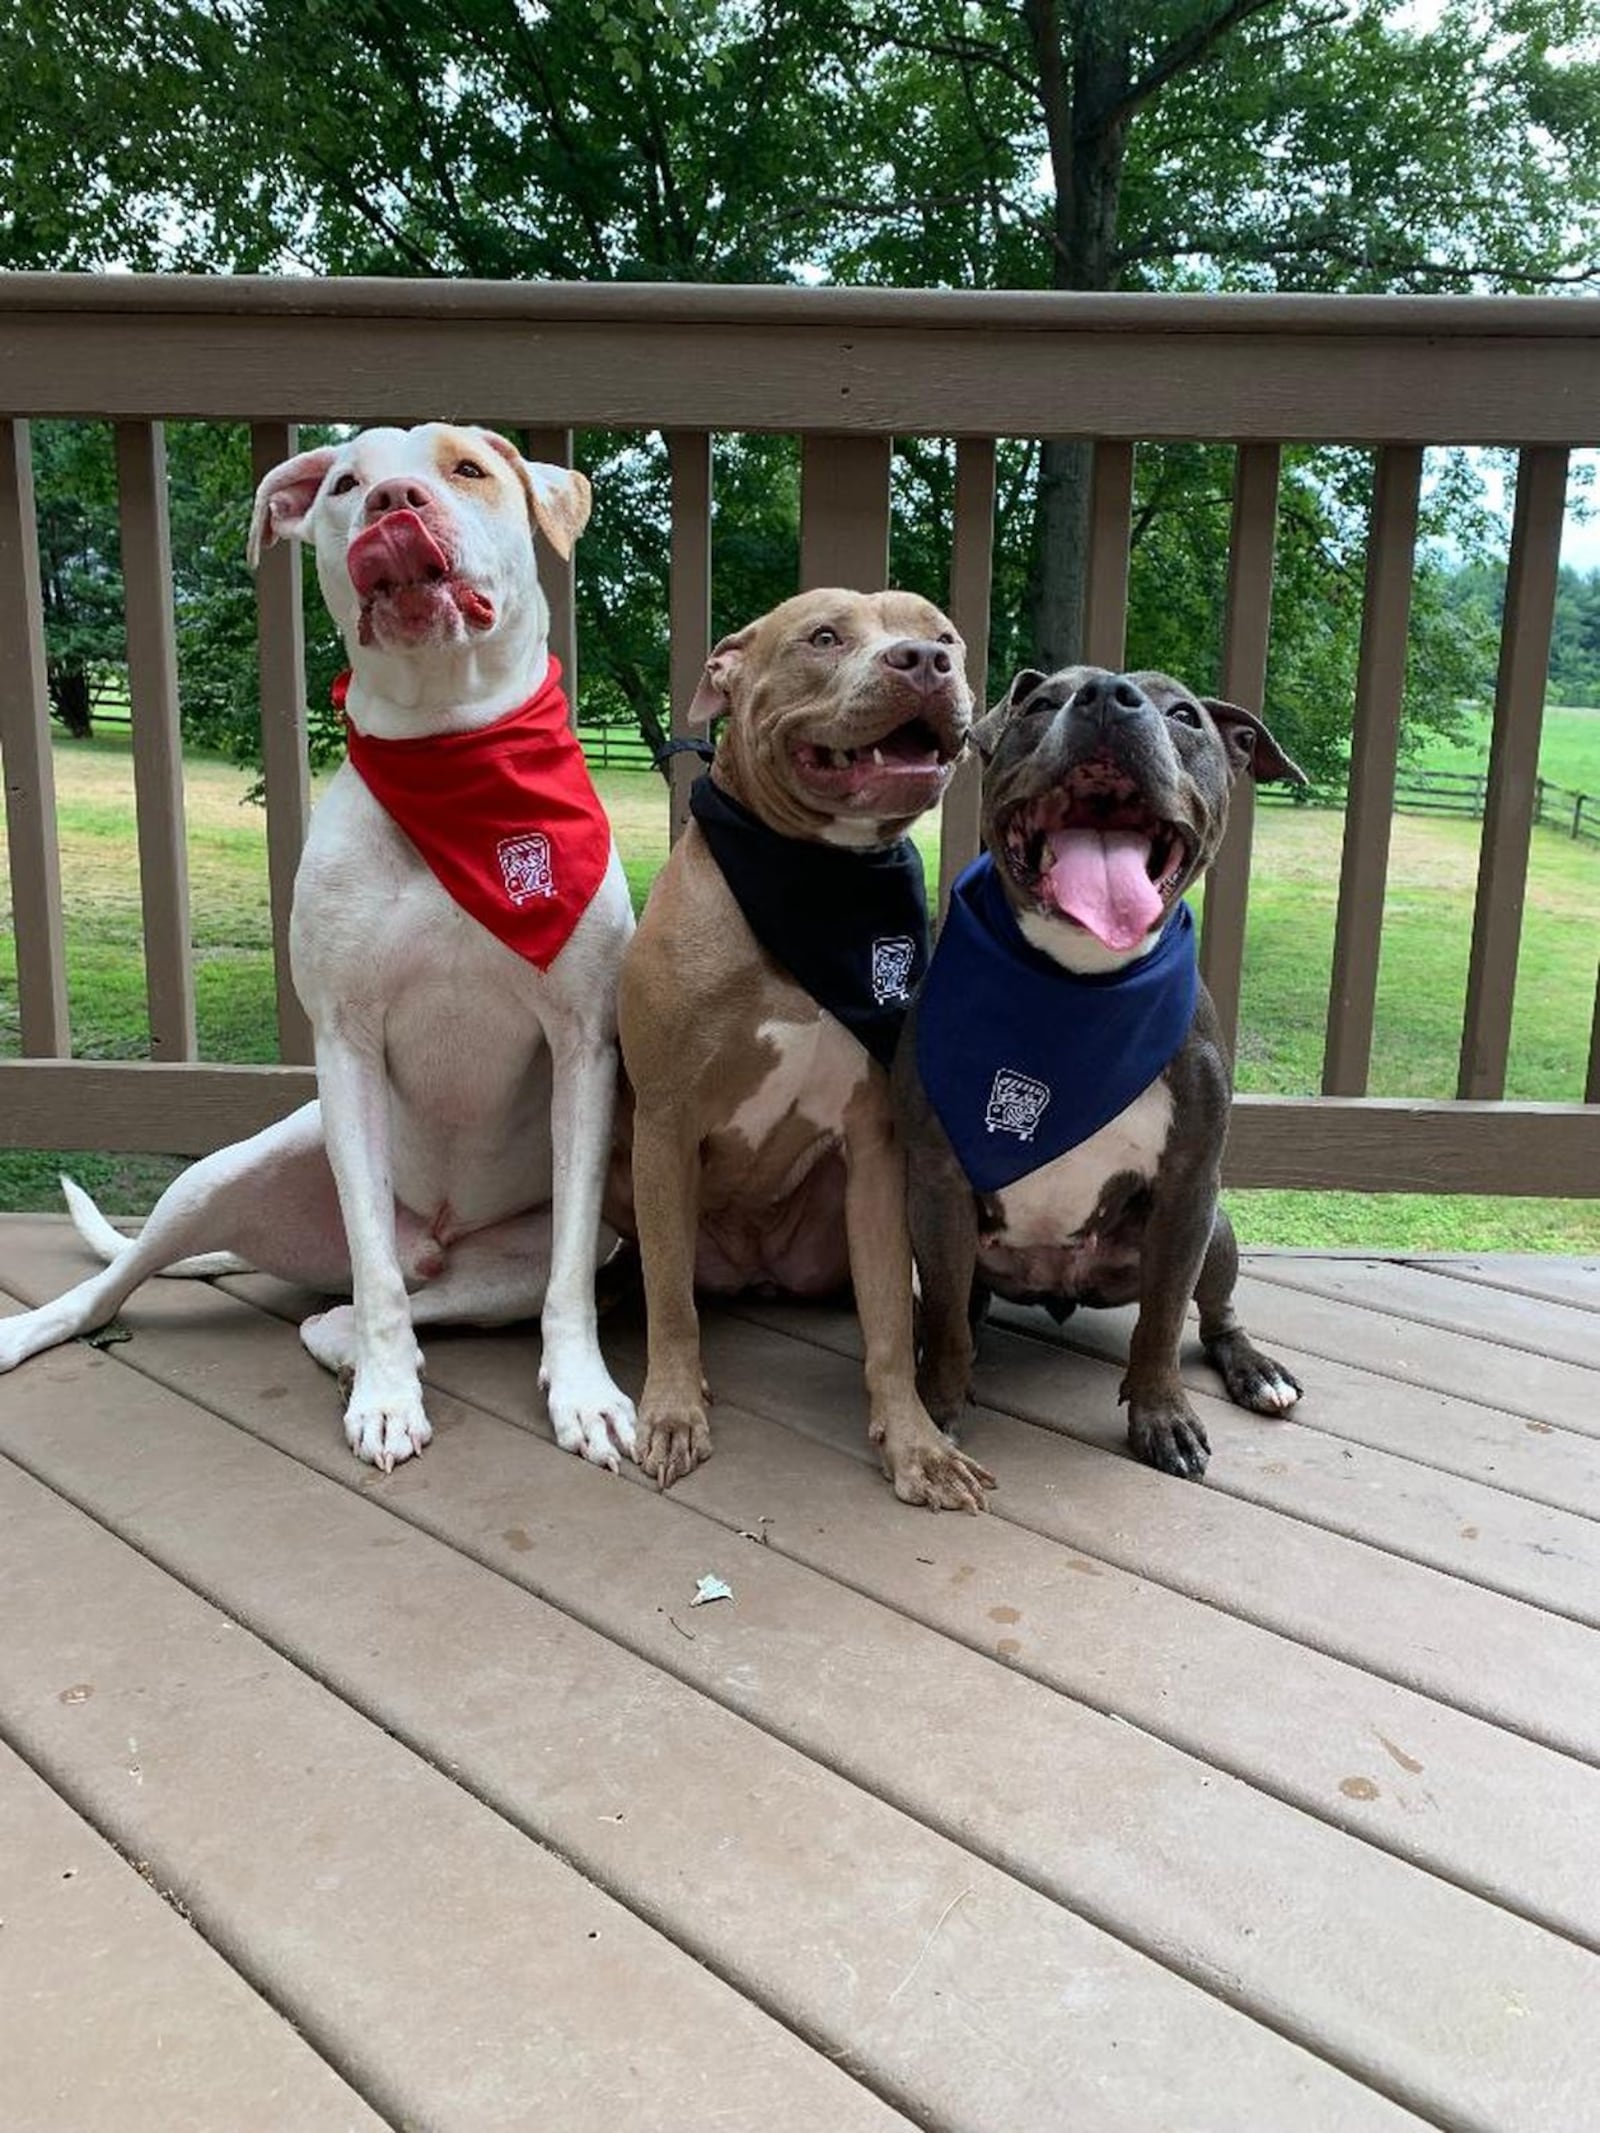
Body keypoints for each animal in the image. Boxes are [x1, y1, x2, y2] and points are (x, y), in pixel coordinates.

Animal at [0, 424, 640, 1476]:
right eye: (345, 483)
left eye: (468, 469)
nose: (393, 502)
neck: (452, 757)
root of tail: (437, 1235)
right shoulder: (346, 1038)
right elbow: (375, 1272)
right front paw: (386, 1396)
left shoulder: (584, 1045)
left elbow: (563, 1288)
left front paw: (583, 1391)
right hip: (220, 1176)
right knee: (137, 1282)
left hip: (526, 1255)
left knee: (386, 1301)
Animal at [618, 592, 998, 1510]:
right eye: (823, 637)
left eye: (944, 636)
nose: (923, 662)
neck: (817, 877)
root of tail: (756, 1270)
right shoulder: (664, 1125)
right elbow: (670, 1301)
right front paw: (674, 1409)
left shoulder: (876, 1145)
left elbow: (889, 1323)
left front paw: (915, 1442)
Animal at [896, 669, 1305, 1484]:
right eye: (1041, 704)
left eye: (1185, 716)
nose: (1111, 697)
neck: (1078, 983)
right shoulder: (937, 1180)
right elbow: (949, 1310)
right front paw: (936, 1404)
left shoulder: (1189, 1185)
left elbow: (1161, 1323)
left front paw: (1162, 1416)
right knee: (961, 1306)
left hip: (1218, 1227)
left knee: (1213, 1314)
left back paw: (1254, 1368)